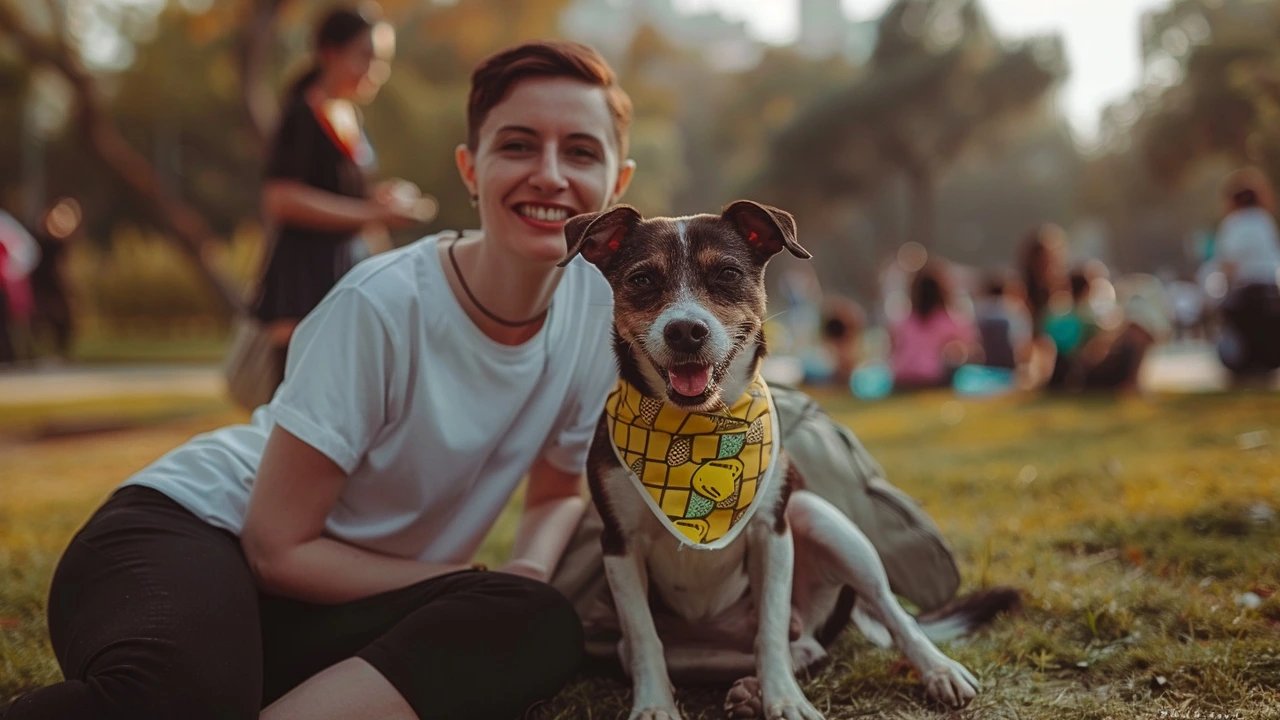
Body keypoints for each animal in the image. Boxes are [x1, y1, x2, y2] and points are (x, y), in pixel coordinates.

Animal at [560, 199, 1008, 717]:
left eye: (728, 273)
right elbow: (643, 635)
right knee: (773, 648)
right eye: (642, 279)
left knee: (883, 614)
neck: (697, 427)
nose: (686, 330)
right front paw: (654, 704)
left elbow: (770, 629)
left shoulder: (771, 533)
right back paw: (746, 689)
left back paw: (936, 669)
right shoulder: (619, 543)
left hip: (818, 518)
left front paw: (785, 699)